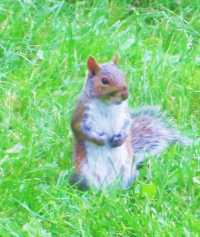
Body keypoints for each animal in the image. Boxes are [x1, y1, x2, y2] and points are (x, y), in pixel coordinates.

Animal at [70, 55, 191, 191]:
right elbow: (78, 128)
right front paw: (99, 140)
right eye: (104, 81)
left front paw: (121, 138)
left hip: (127, 171)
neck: (107, 104)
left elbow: (128, 125)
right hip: (84, 174)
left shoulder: (124, 113)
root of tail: (110, 188)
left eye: (123, 75)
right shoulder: (81, 112)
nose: (125, 95)